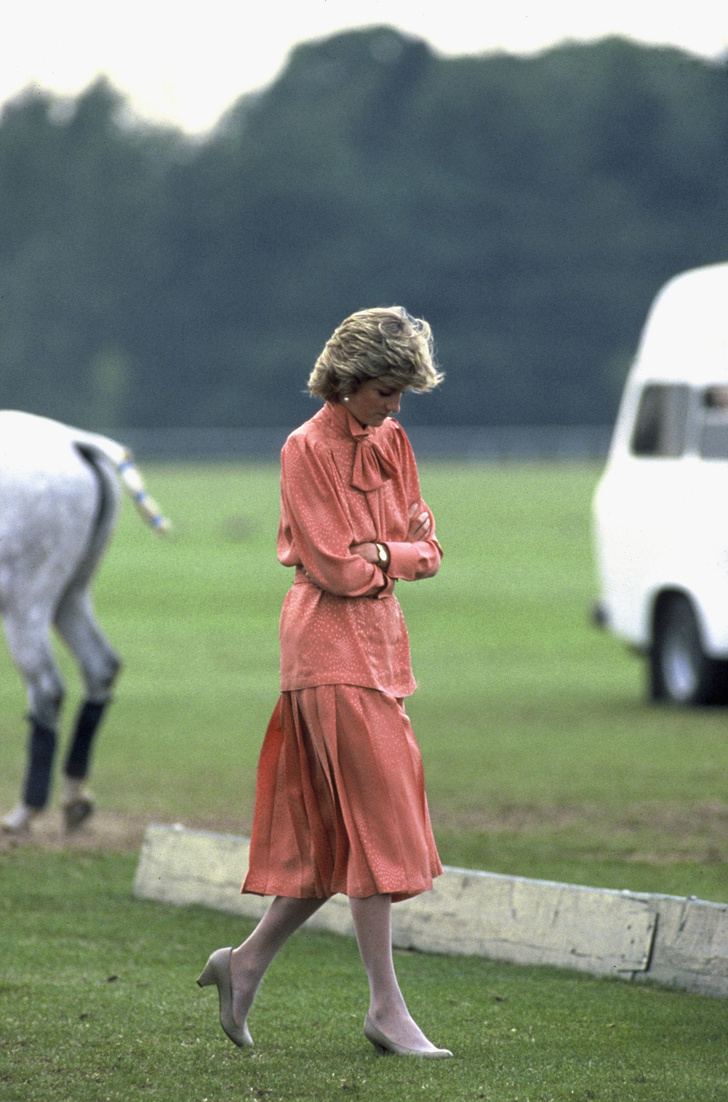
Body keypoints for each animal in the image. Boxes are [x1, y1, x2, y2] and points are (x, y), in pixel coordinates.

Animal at [0, 409, 167, 828]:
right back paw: (74, 797)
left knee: (47, 688)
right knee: (100, 665)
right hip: (71, 593)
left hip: (25, 596)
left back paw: (26, 810)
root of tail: (75, 440)